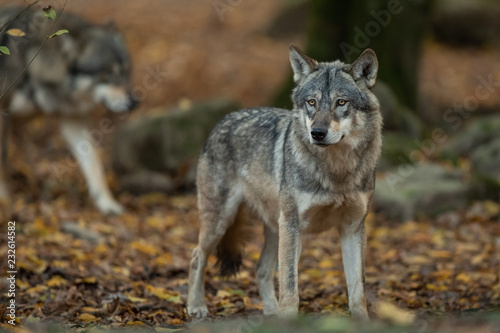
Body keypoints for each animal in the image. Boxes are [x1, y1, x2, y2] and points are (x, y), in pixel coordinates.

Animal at [0, 7, 139, 215]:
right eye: (108, 75)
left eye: (126, 72)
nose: (135, 102)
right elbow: (2, 162)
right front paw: (5, 202)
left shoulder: (73, 120)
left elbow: (94, 163)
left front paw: (107, 204)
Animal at [188, 42, 382, 318]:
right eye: (311, 102)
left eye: (341, 102)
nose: (317, 133)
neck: (336, 172)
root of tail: (221, 121)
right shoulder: (292, 225)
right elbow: (290, 287)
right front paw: (289, 318)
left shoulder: (353, 228)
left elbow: (358, 291)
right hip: (222, 222)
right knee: (197, 256)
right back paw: (196, 306)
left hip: (273, 227)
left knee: (261, 269)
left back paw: (270, 314)